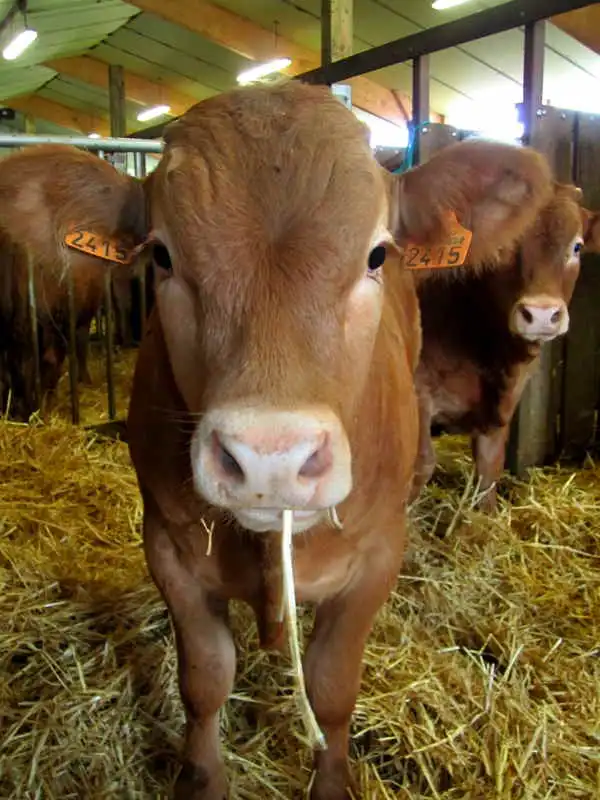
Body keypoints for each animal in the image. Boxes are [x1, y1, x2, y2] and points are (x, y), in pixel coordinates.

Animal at [125, 81, 554, 799]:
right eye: (162, 255)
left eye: (376, 253)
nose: (270, 459)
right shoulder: (166, 546)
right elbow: (205, 679)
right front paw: (204, 776)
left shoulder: (377, 554)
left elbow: (331, 690)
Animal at [410, 182, 600, 512]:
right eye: (504, 244)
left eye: (576, 247)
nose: (541, 314)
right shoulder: (417, 390)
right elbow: (421, 466)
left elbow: (489, 467)